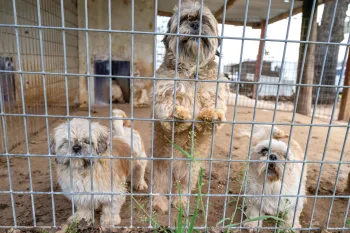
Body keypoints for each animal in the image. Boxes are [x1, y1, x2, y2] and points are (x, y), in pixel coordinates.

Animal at [152, 1, 228, 213]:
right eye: (185, 19)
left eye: (205, 21)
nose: (195, 25)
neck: (192, 72)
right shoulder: (165, 89)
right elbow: (168, 105)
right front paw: (176, 114)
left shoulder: (214, 92)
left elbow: (213, 107)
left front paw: (211, 116)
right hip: (161, 171)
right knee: (160, 188)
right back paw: (159, 203)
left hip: (190, 173)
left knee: (183, 189)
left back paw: (180, 202)